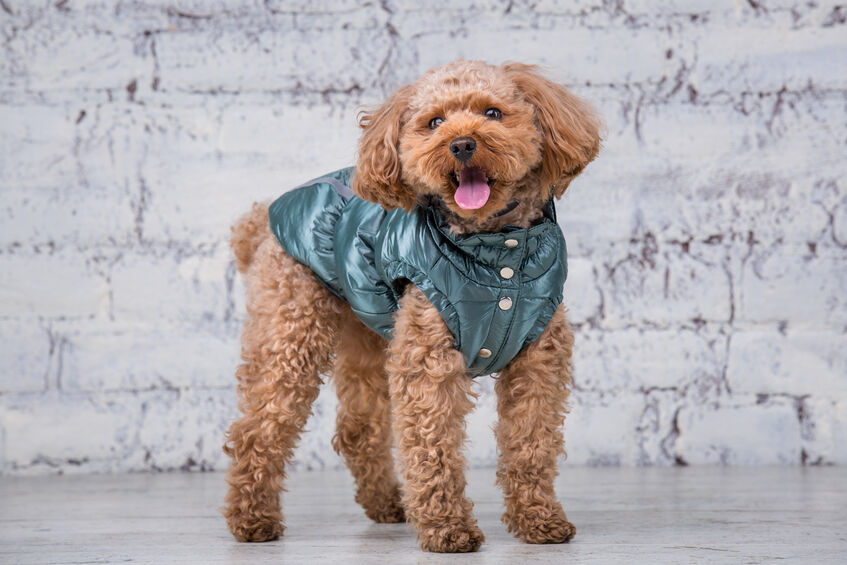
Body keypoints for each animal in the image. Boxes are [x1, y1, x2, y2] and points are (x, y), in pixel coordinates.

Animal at [220, 60, 604, 552]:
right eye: (435, 122)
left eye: (493, 113)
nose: (461, 144)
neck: (498, 257)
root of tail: (260, 223)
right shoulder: (428, 359)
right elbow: (431, 443)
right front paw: (448, 528)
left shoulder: (538, 363)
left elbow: (531, 445)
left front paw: (539, 519)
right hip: (291, 331)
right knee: (258, 428)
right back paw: (252, 519)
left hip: (367, 333)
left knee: (358, 429)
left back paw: (387, 504)